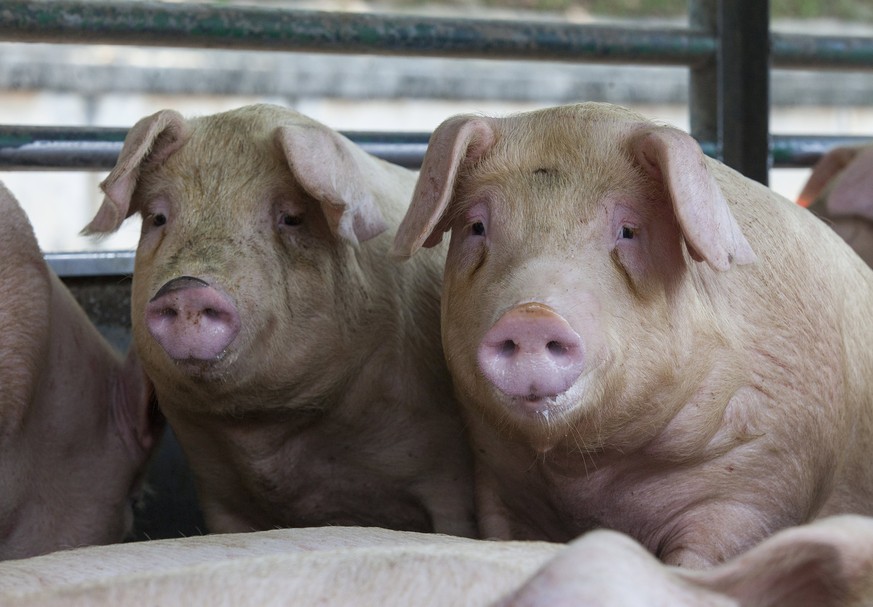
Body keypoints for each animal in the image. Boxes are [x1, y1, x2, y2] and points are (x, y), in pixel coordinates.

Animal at [85, 103, 474, 536]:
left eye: (291, 217)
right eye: (157, 218)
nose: (186, 287)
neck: (265, 428)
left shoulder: (451, 482)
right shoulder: (219, 494)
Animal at [392, 103, 872, 568]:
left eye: (629, 231)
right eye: (476, 226)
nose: (531, 315)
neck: (585, 473)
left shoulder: (760, 483)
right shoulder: (497, 477)